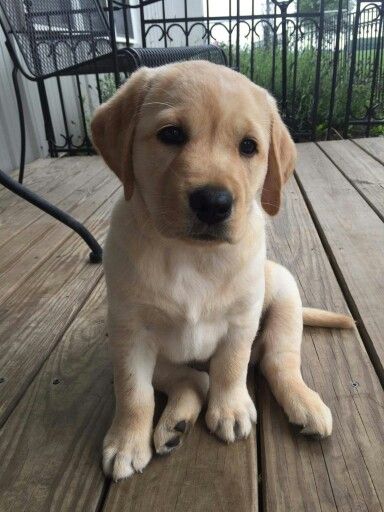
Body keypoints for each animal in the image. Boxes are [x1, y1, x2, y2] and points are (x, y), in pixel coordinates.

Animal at [91, 62, 354, 482]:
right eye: (171, 134)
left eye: (248, 146)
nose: (213, 203)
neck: (191, 256)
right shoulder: (129, 332)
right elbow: (134, 392)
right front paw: (127, 441)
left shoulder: (241, 321)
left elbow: (230, 368)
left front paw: (230, 409)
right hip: (144, 351)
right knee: (194, 378)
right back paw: (174, 425)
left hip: (284, 295)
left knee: (276, 361)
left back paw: (306, 405)